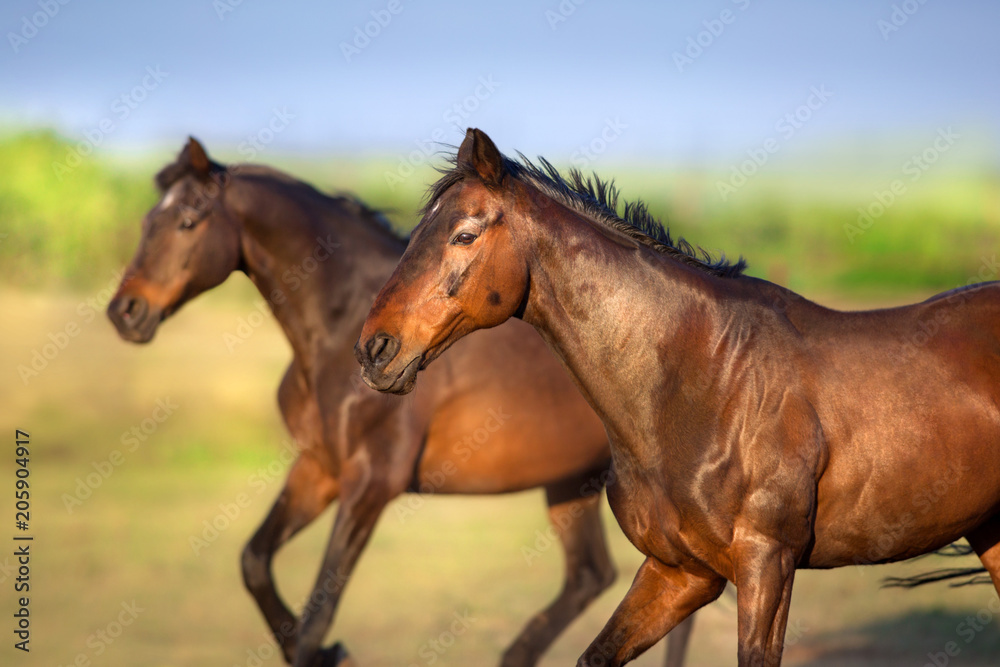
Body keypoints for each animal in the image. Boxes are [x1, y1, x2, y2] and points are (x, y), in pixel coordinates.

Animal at [106, 138, 702, 667]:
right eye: (147, 222)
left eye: (187, 221)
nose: (125, 312)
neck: (331, 334)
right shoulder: (320, 468)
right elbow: (255, 562)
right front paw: (330, 653)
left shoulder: (372, 482)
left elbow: (318, 611)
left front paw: (329, 650)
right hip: (569, 483)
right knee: (591, 577)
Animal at [356, 128, 1000, 667]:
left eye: (464, 234)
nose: (374, 350)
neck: (711, 382)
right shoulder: (679, 572)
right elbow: (597, 654)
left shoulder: (768, 564)